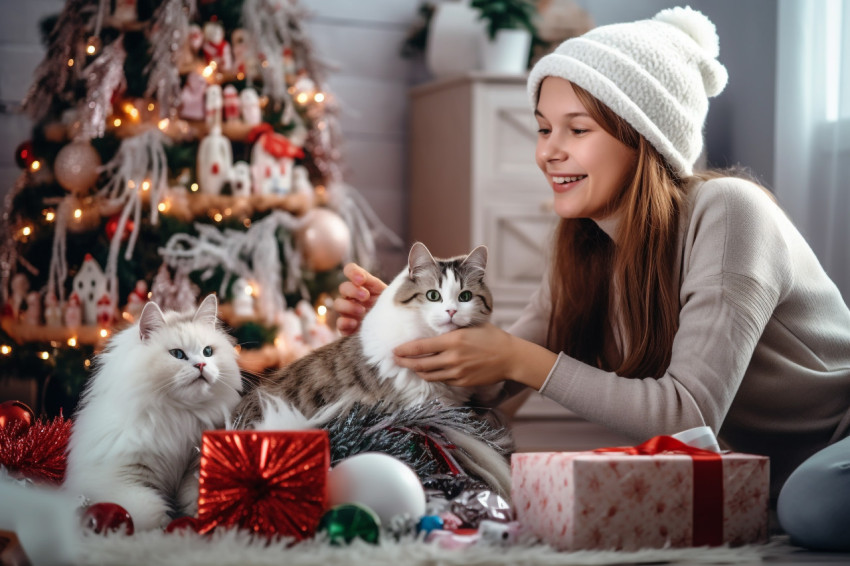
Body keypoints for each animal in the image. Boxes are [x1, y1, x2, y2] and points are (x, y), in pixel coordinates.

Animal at [63, 298, 240, 532]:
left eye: (208, 352)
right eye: (178, 354)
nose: (201, 365)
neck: (180, 414)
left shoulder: (194, 469)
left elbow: (198, 497)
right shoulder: (125, 478)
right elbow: (152, 515)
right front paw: (167, 527)